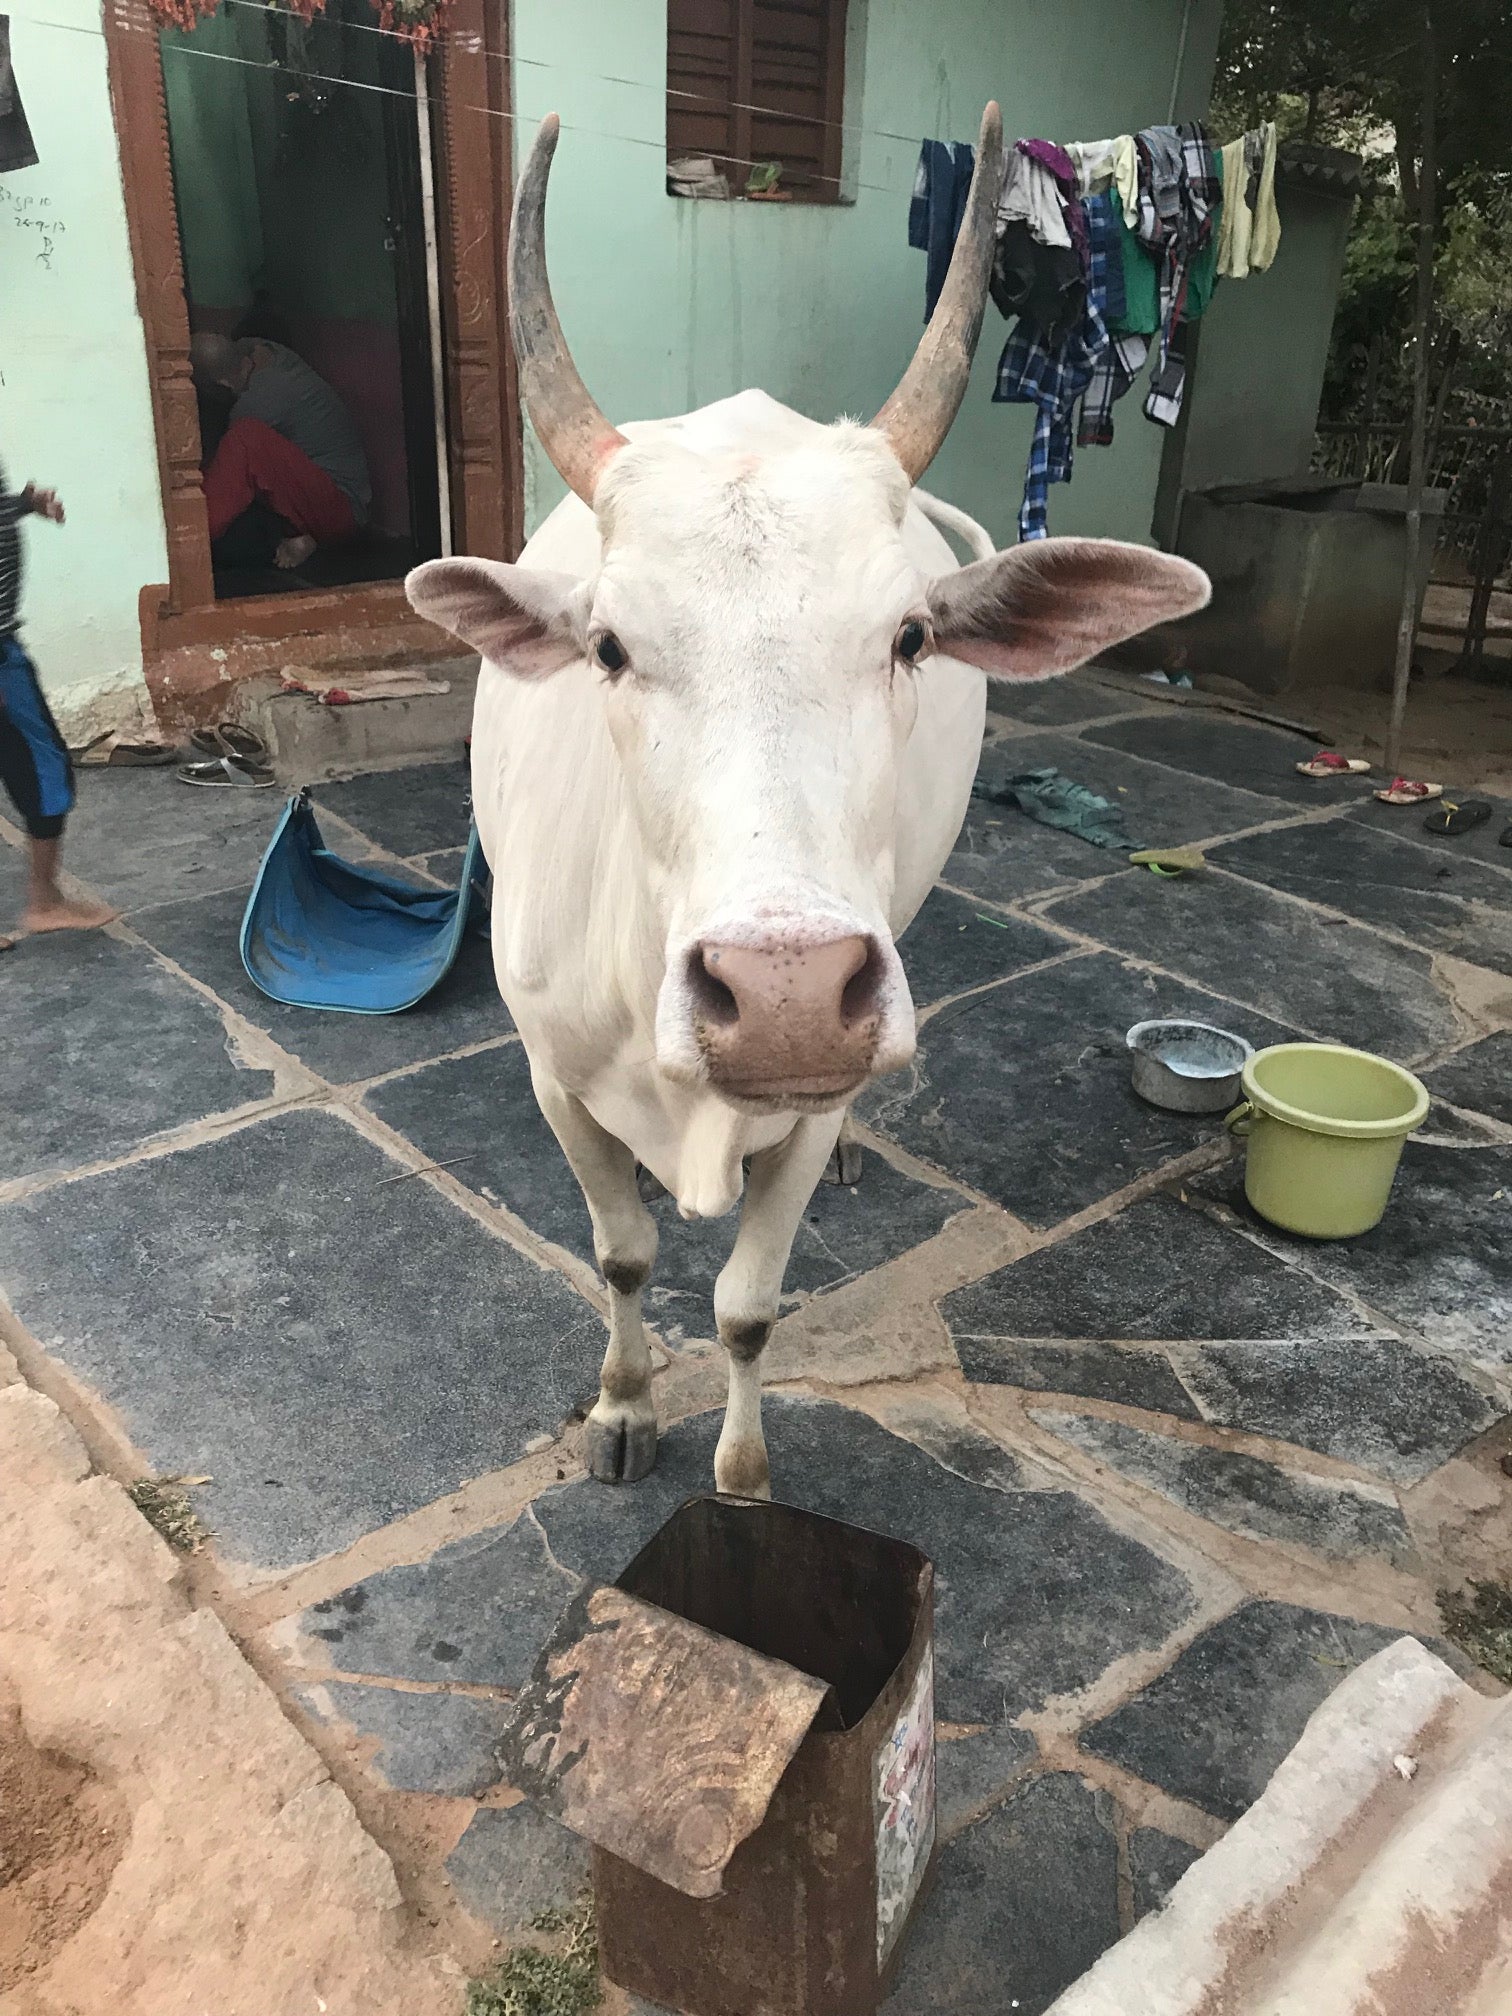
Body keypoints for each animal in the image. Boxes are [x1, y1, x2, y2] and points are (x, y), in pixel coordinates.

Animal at [406, 104, 1209, 1500]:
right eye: (607, 646)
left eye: (910, 637)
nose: (782, 997)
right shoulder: (556, 1082)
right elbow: (621, 1255)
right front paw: (623, 1406)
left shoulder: (818, 1084)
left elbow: (744, 1308)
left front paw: (740, 1475)